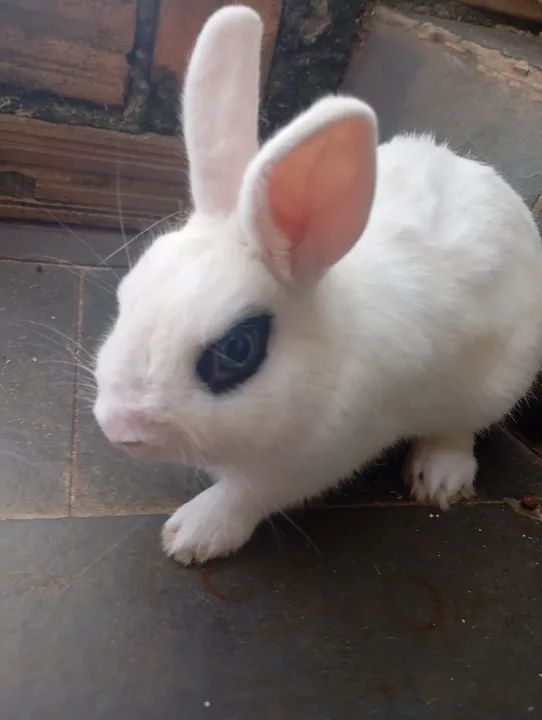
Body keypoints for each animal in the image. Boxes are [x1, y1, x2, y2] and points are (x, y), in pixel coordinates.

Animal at [93, 5, 542, 565]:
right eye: (125, 297)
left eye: (236, 351)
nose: (117, 427)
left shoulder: (312, 460)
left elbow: (244, 496)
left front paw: (191, 535)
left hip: (496, 379)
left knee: (459, 430)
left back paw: (439, 479)